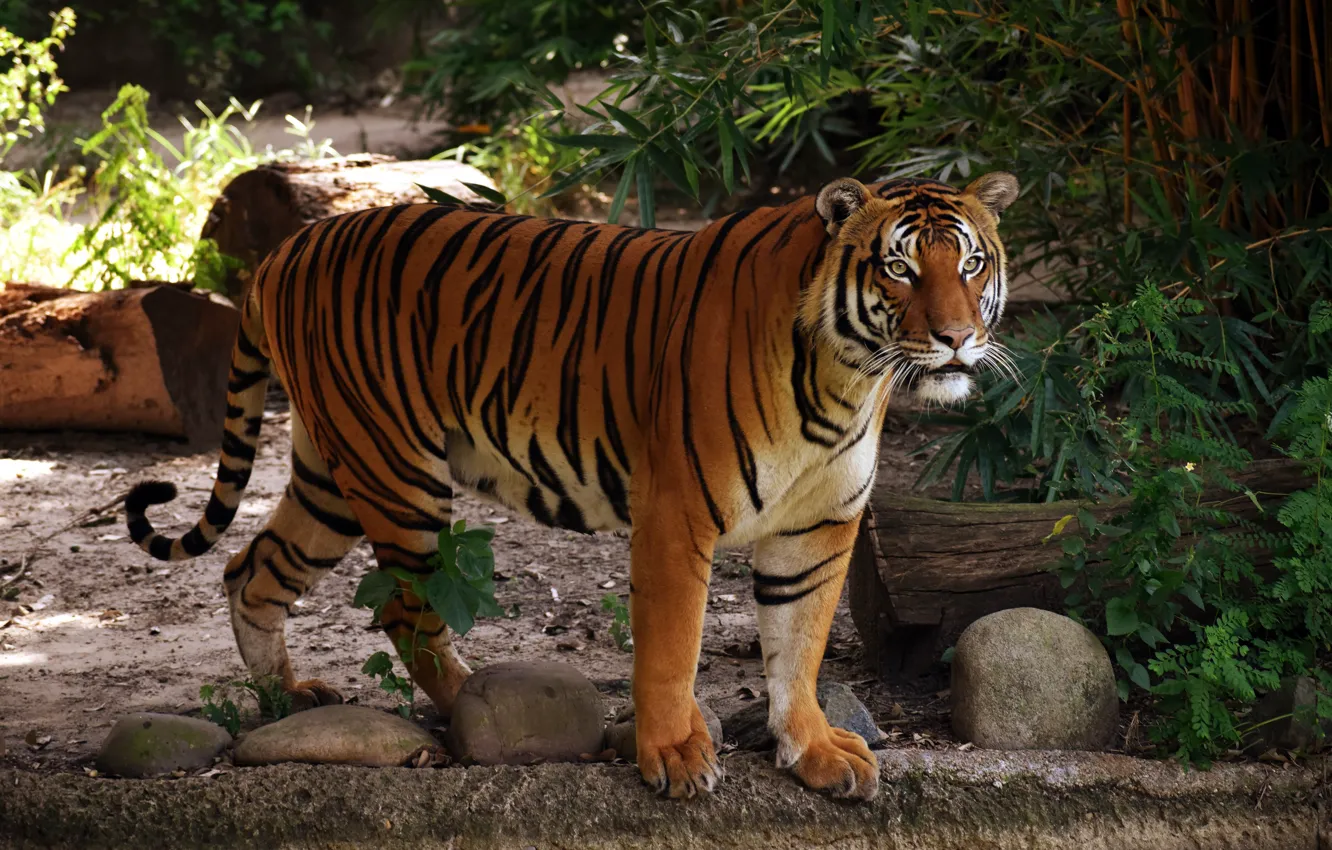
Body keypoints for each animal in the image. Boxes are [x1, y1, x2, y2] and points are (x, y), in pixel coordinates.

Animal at [124, 170, 1019, 800]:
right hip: (395, 471)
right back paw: (470, 704)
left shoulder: (818, 529)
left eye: (972, 263)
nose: (956, 339)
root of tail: (285, 250)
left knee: (252, 569)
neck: (847, 376)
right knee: (405, 608)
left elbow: (798, 646)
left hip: (331, 475)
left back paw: (286, 697)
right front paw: (673, 756)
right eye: (900, 268)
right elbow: (672, 649)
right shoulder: (676, 517)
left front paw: (816, 752)